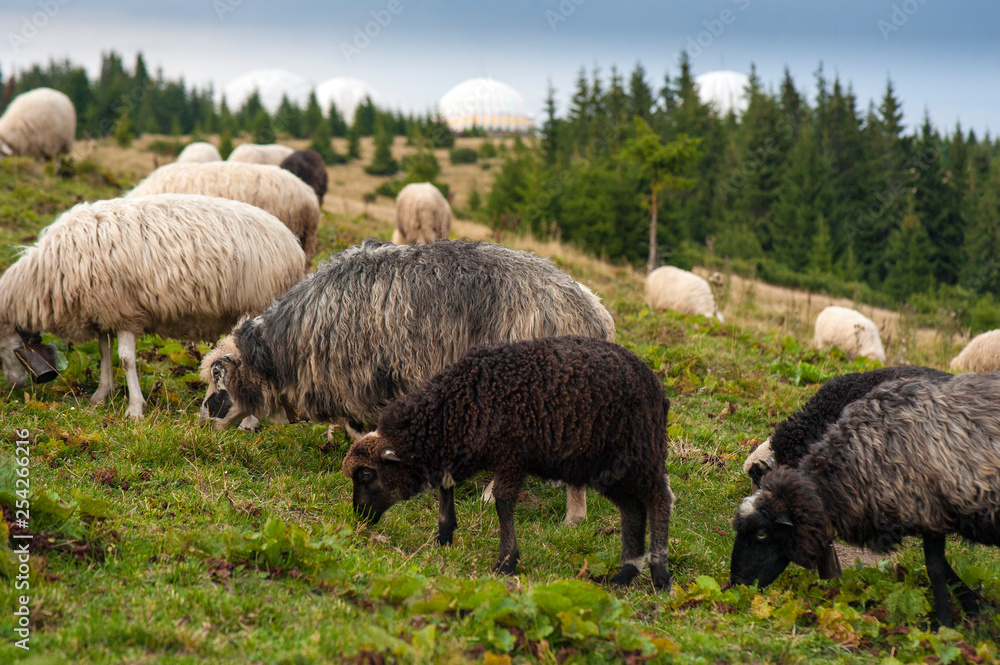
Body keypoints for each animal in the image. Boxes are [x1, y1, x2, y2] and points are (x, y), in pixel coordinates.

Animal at [0, 194, 306, 418]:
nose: (14, 387)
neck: (48, 275)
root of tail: (293, 244)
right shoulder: (105, 311)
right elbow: (104, 353)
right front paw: (101, 395)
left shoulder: (124, 310)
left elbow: (125, 359)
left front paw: (135, 409)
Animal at [198, 238, 616, 524]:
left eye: (218, 378)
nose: (200, 424)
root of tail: (593, 314)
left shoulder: (370, 378)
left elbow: (362, 429)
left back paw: (554, 512)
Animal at [342, 335, 675, 587]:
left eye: (367, 475)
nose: (360, 516)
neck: (455, 406)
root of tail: (655, 387)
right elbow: (446, 487)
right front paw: (444, 535)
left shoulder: (510, 455)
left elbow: (503, 502)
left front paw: (505, 562)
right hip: (606, 468)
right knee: (632, 510)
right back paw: (625, 573)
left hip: (638, 454)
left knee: (660, 499)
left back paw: (659, 574)